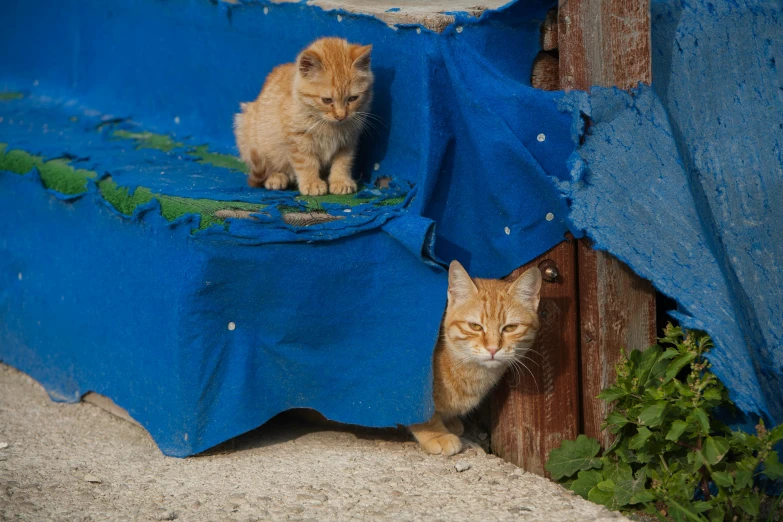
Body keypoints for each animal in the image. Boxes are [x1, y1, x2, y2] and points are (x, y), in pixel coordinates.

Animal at [234, 37, 376, 195]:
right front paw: (312, 183)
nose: (341, 115)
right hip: (246, 129)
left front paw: (340, 181)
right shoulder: (298, 140)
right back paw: (276, 177)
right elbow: (306, 162)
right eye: (327, 100)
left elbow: (343, 162)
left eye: (353, 98)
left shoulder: (348, 140)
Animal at [408, 262, 544, 452]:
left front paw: (450, 422)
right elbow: (423, 412)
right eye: (475, 326)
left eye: (510, 328)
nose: (493, 349)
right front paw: (437, 434)